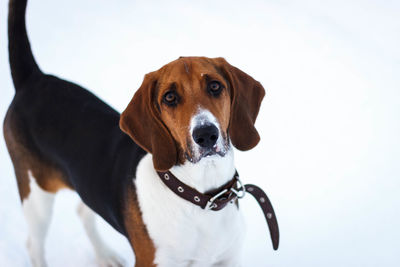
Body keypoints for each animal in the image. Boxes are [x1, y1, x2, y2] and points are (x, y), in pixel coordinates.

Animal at [4, 0, 266, 266]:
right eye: (169, 97)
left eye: (214, 86)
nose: (205, 134)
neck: (201, 196)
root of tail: (32, 79)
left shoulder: (229, 258)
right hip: (36, 196)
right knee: (34, 244)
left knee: (83, 211)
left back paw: (105, 255)